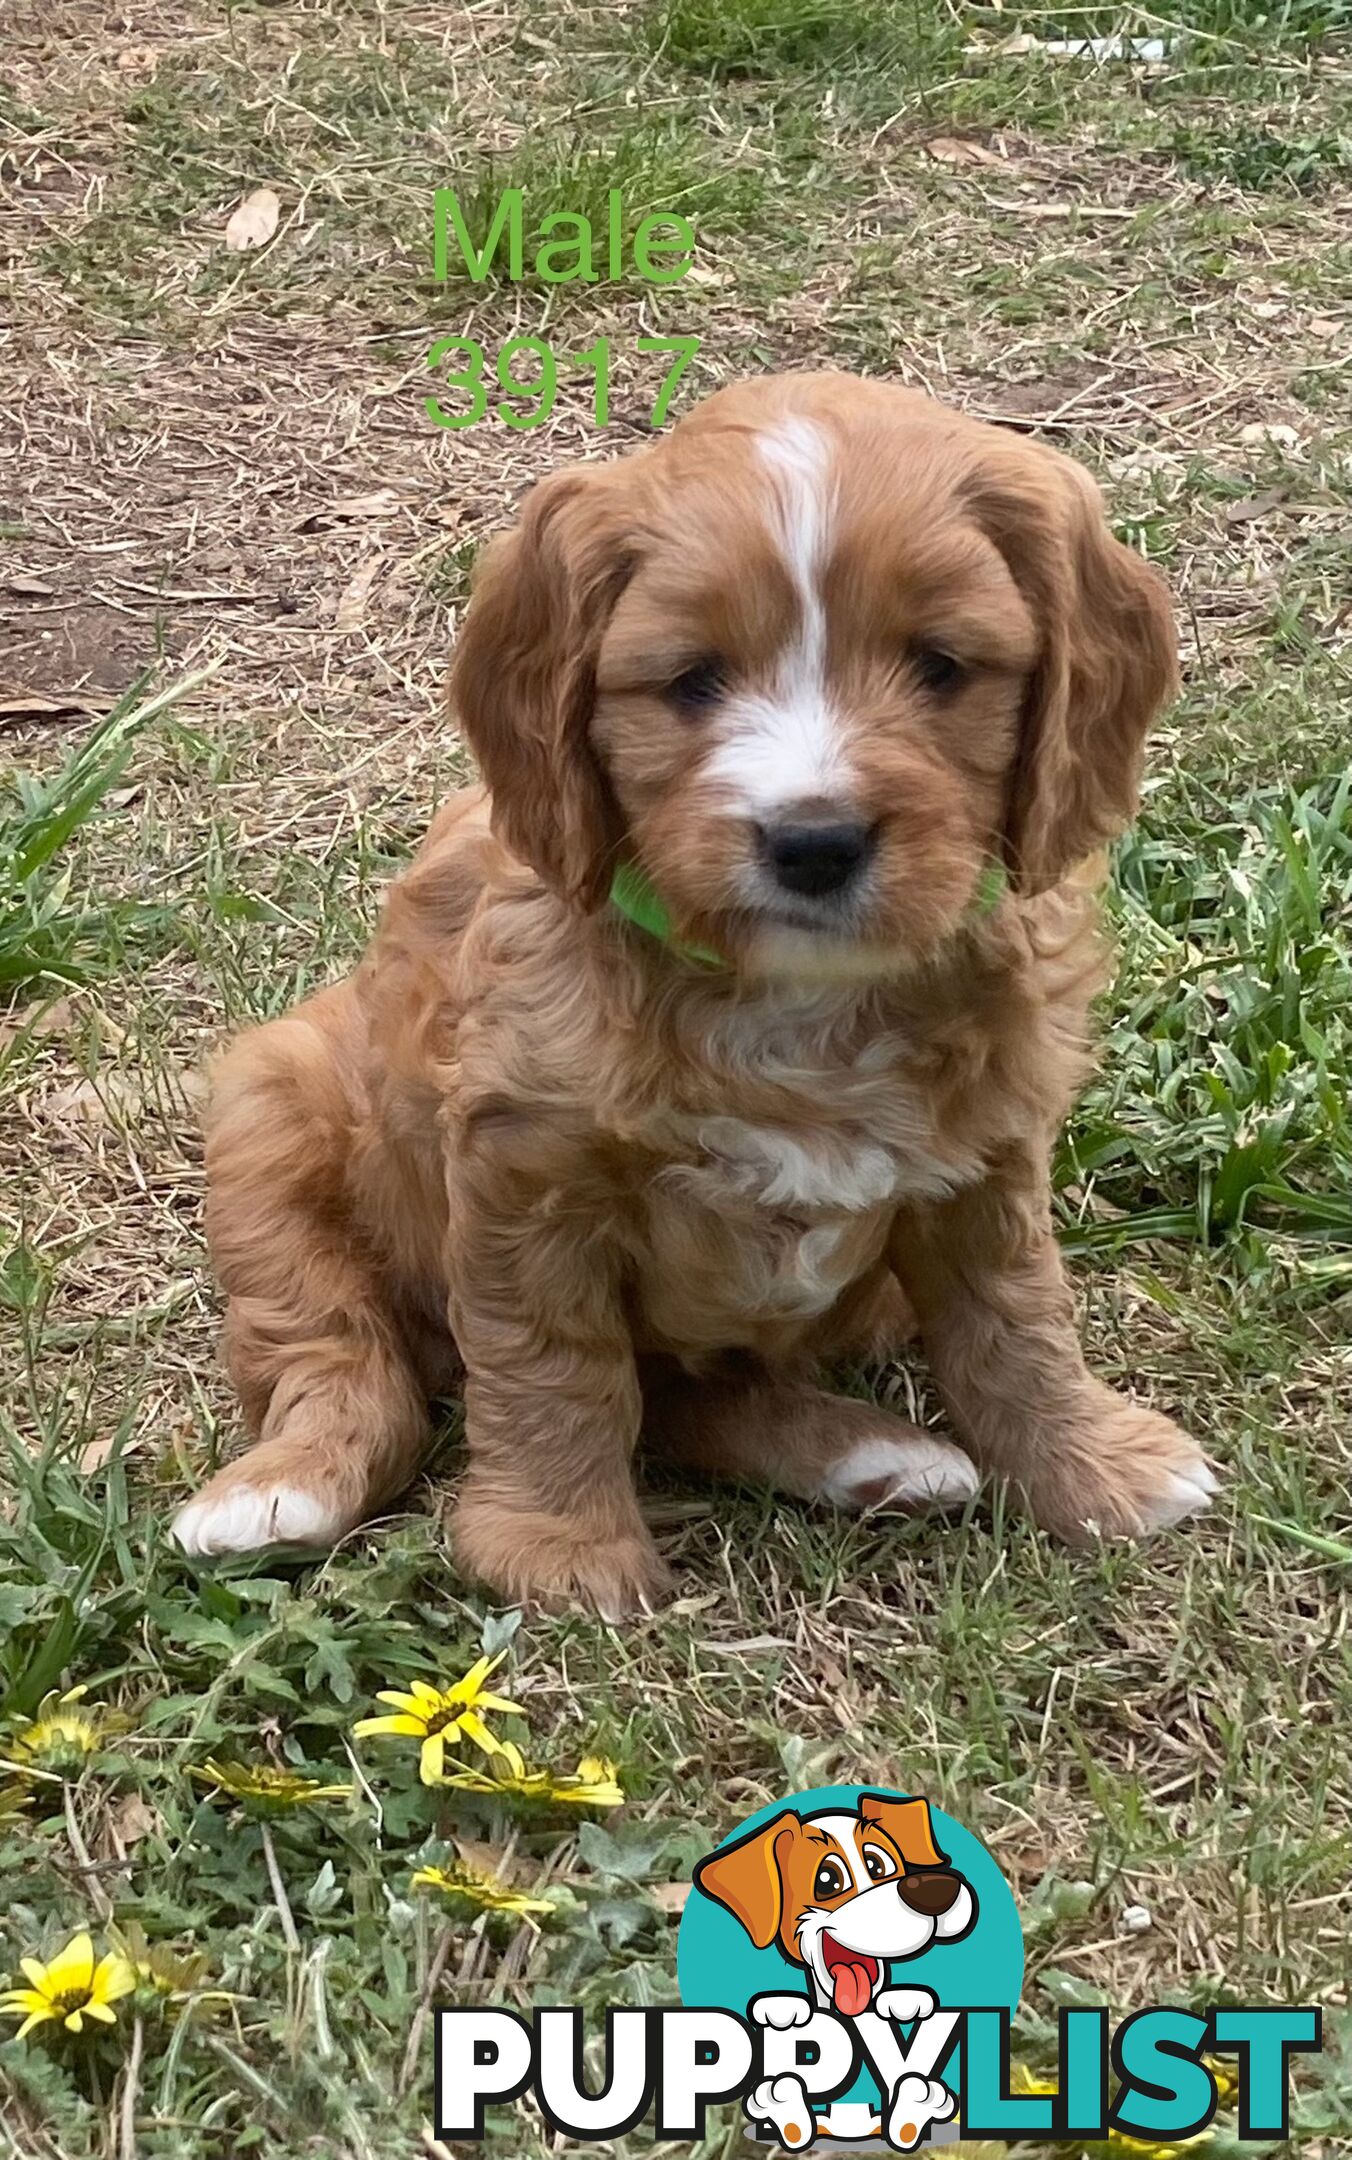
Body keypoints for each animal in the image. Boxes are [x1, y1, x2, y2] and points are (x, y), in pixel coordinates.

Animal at [173, 362, 1218, 1615]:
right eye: (691, 681)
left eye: (939, 666)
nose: (812, 843)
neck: (794, 1002)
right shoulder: (525, 1177)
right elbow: (553, 1366)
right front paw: (559, 1554)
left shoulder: (988, 1157)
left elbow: (1015, 1319)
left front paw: (1091, 1468)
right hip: (270, 1121)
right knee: (333, 1345)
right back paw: (278, 1490)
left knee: (694, 1392)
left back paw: (868, 1454)